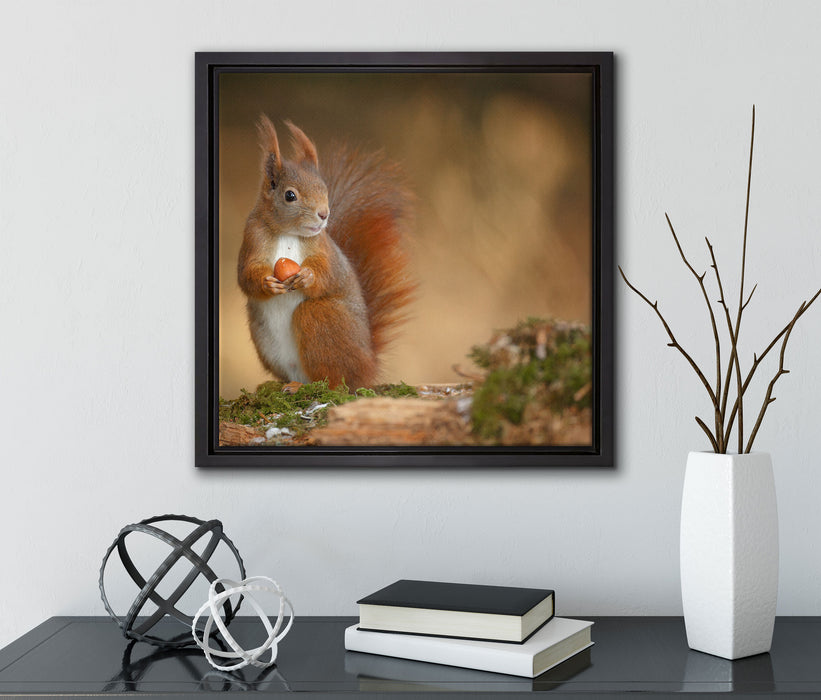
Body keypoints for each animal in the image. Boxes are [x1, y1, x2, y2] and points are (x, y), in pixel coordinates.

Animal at [237, 115, 415, 390]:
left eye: (324, 189)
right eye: (290, 195)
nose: (324, 214)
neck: (288, 233)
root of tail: (368, 366)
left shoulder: (324, 248)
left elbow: (328, 272)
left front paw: (308, 277)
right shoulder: (252, 239)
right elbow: (246, 275)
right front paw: (267, 284)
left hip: (322, 317)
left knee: (334, 380)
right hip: (264, 338)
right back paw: (290, 385)